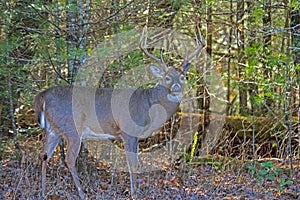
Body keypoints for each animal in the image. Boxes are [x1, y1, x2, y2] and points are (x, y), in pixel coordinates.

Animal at [32, 27, 202, 199]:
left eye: (182, 77)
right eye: (167, 77)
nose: (176, 87)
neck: (148, 105)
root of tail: (43, 96)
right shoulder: (129, 131)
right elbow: (132, 164)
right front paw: (134, 193)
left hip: (53, 129)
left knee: (43, 155)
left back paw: (43, 192)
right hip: (71, 128)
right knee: (69, 159)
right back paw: (81, 193)